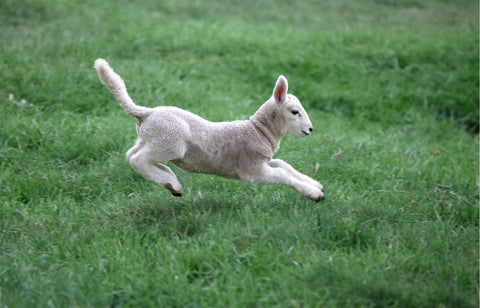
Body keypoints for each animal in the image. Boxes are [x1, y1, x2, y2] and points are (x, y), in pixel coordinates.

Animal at [93, 58, 326, 201]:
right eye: (295, 112)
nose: (310, 129)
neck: (259, 131)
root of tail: (146, 113)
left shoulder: (265, 160)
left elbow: (285, 166)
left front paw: (317, 185)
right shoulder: (252, 169)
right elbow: (282, 175)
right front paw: (314, 194)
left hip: (149, 139)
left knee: (131, 155)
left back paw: (170, 181)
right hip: (170, 142)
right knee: (138, 159)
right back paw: (171, 182)